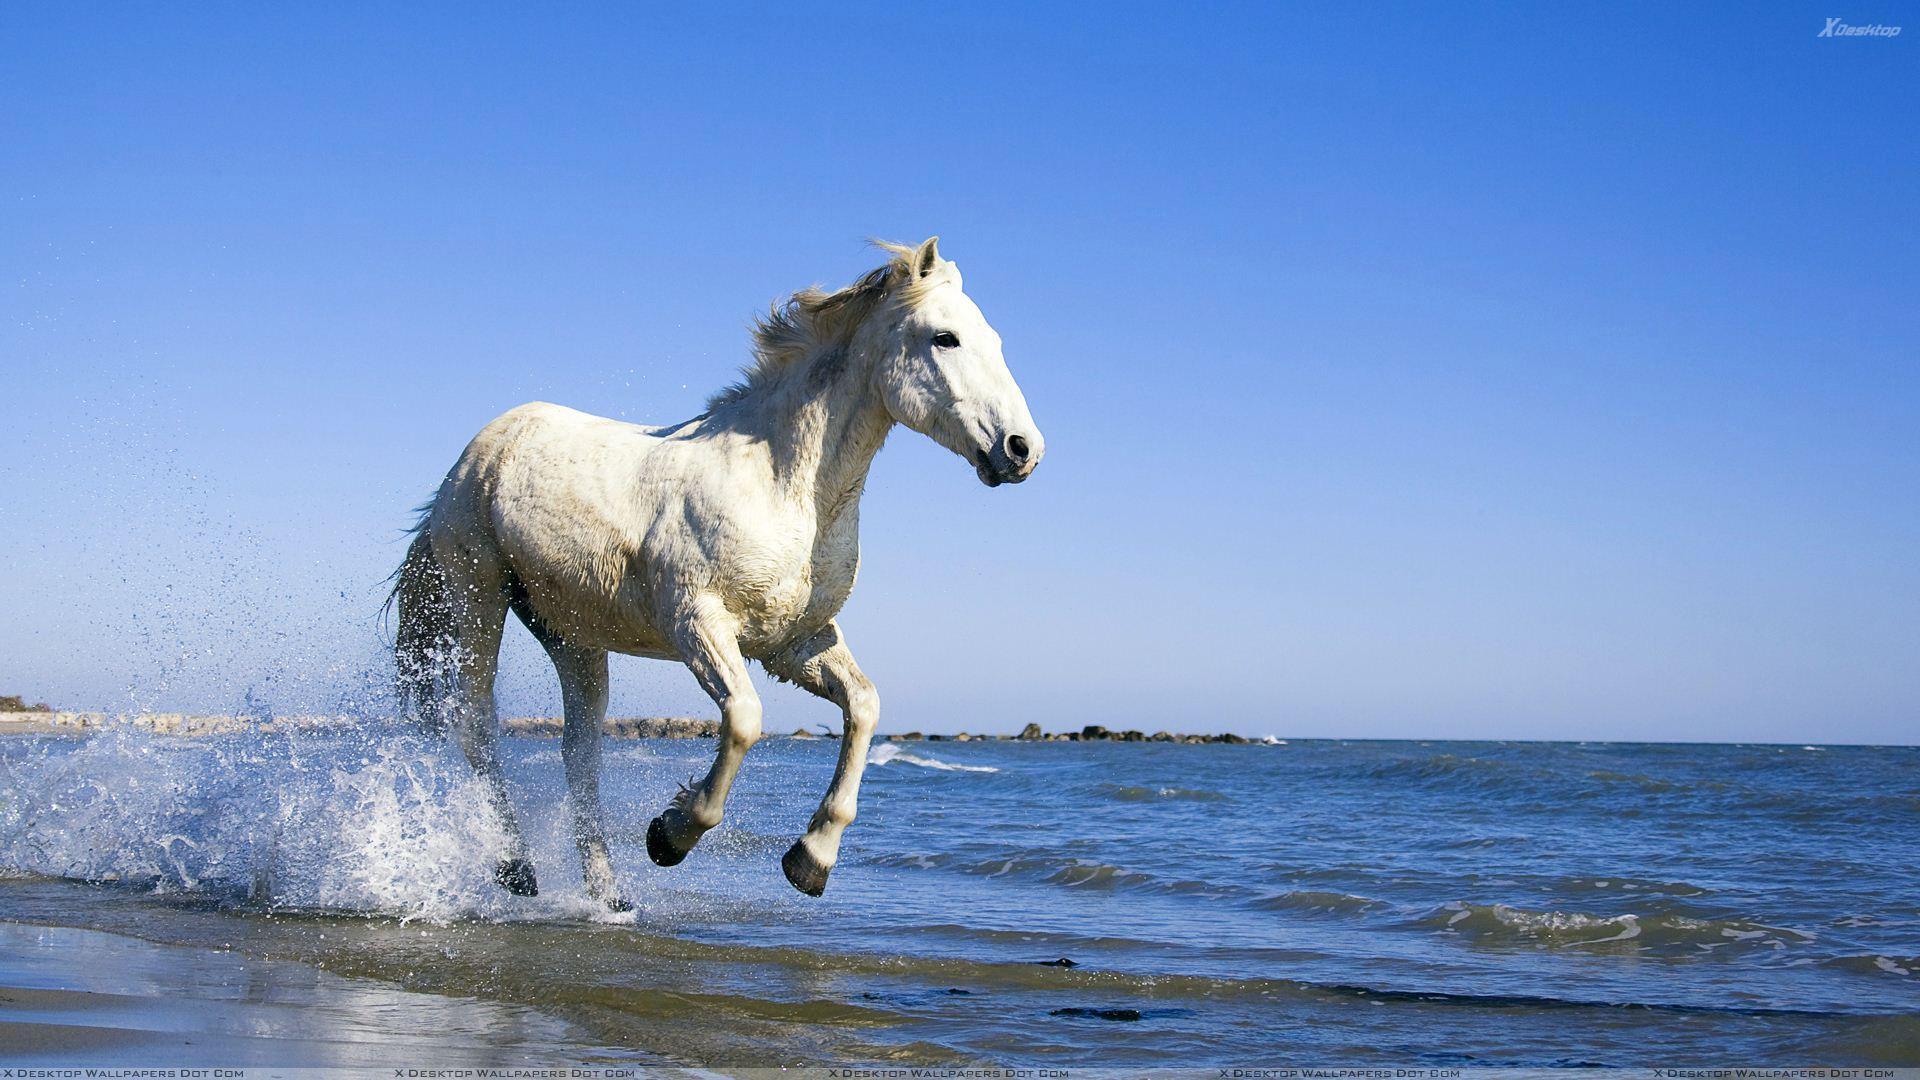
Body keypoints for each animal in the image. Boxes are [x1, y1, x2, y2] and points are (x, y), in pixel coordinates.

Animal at [390, 237, 1044, 910]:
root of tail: (480, 449)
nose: (1022, 449)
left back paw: (610, 895)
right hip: (478, 597)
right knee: (475, 723)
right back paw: (517, 867)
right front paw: (669, 835)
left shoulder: (794, 642)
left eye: (993, 339)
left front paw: (811, 860)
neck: (783, 486)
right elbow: (745, 720)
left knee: (580, 754)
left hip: (573, 636)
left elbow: (864, 706)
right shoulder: (698, 622)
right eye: (945, 338)